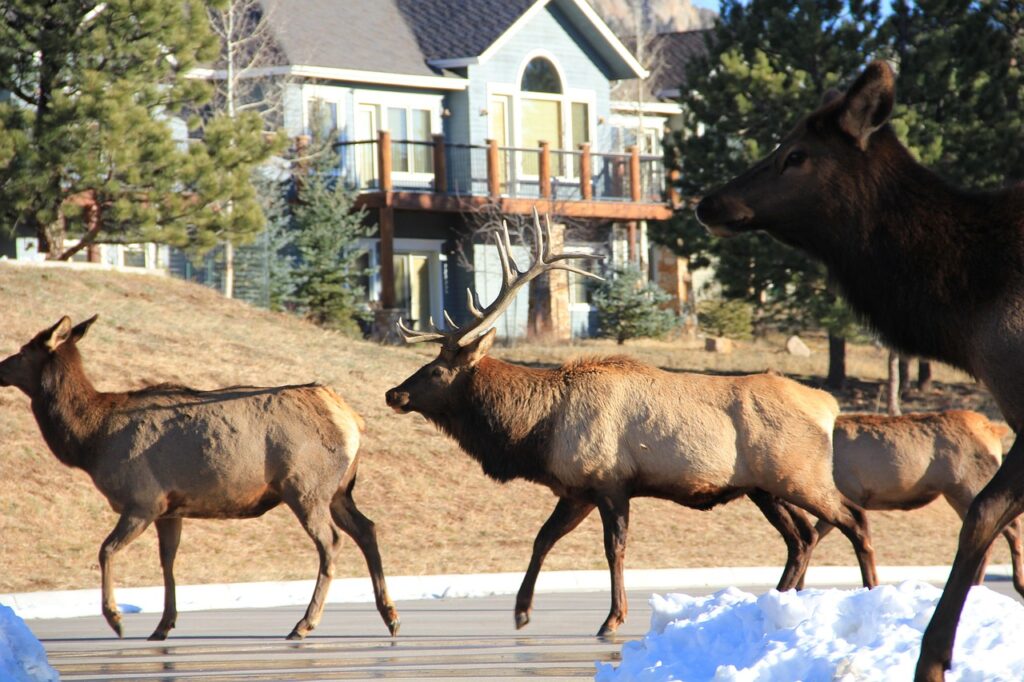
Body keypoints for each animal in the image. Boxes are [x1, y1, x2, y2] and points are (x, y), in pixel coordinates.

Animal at [0, 316, 400, 642]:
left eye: (23, 350)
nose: (0, 367)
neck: (90, 440)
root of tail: (352, 419)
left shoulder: (142, 499)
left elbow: (106, 550)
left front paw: (116, 619)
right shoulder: (170, 508)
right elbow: (168, 561)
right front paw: (163, 625)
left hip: (306, 488)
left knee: (331, 541)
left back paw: (305, 624)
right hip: (339, 491)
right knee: (367, 529)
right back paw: (390, 616)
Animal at [384, 209, 878, 636]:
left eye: (436, 370)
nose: (394, 394)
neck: (536, 431)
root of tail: (829, 405)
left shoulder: (609, 480)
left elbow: (613, 549)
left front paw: (611, 619)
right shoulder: (576, 490)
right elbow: (542, 539)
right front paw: (521, 612)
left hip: (799, 475)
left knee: (852, 518)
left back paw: (871, 590)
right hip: (765, 487)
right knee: (802, 536)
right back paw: (776, 598)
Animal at [791, 411, 1023, 596]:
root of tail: (994, 430)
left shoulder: (849, 492)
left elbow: (816, 537)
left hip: (969, 486)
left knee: (1010, 527)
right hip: (960, 494)